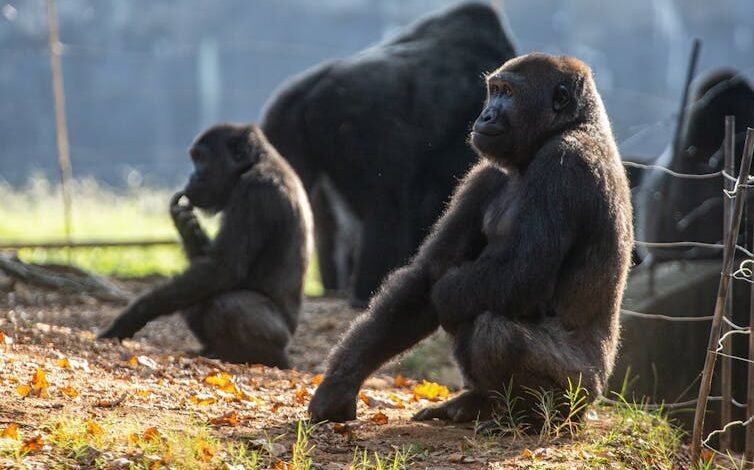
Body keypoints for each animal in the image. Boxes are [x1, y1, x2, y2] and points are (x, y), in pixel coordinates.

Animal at [99, 124, 312, 368]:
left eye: (202, 158)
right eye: (195, 159)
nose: (193, 176)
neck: (255, 162)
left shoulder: (255, 191)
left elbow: (221, 270)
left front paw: (133, 316)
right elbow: (207, 269)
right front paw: (186, 226)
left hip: (283, 340)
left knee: (229, 305)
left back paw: (263, 358)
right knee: (195, 299)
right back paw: (213, 349)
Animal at [308, 53, 632, 424]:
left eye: (508, 93)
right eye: (494, 91)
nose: (486, 115)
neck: (572, 125)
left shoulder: (563, 164)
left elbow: (519, 277)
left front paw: (446, 295)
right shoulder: (484, 174)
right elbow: (426, 275)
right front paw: (339, 384)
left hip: (583, 391)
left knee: (494, 333)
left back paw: (532, 416)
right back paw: (477, 403)